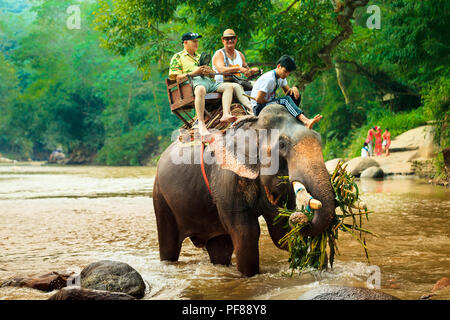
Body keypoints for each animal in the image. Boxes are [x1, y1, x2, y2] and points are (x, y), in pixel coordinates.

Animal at [153, 104, 336, 276]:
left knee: (220, 247)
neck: (253, 126)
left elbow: (280, 231)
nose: (301, 216)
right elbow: (246, 232)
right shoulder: (226, 178)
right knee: (169, 244)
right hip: (161, 197)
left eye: (318, 138)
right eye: (282, 145)